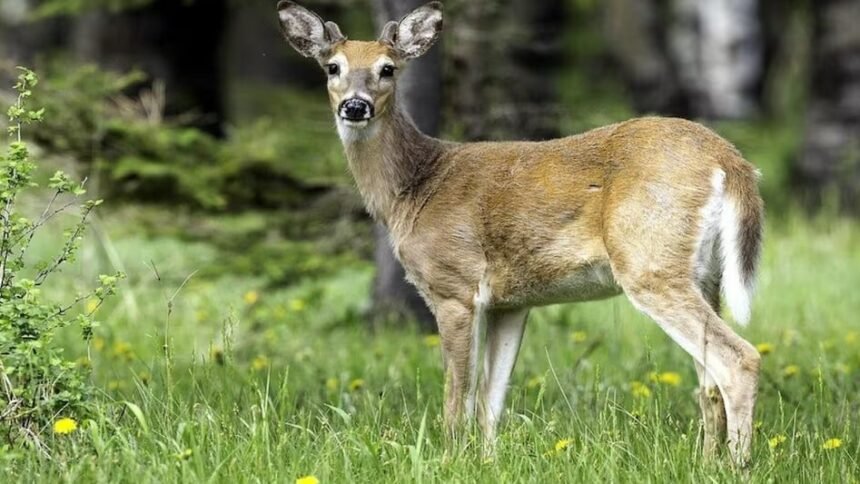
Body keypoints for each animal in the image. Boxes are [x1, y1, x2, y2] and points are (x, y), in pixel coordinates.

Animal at [277, 0, 764, 466]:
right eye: (332, 67)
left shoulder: (455, 286)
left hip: (649, 261)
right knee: (709, 384)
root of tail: (731, 160)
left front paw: (451, 459)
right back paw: (708, 462)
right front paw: (487, 462)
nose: (355, 106)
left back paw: (737, 465)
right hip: (704, 275)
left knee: (739, 359)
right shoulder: (512, 302)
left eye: (387, 68)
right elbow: (491, 399)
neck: (415, 189)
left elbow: (458, 393)